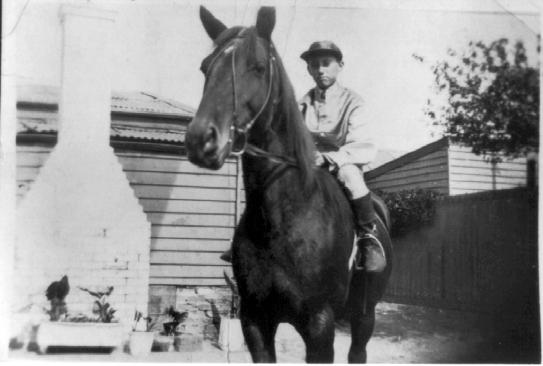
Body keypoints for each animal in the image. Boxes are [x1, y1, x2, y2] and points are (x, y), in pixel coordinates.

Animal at [186, 5, 392, 364]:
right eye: (205, 67)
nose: (201, 139)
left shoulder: (319, 327)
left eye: (256, 66)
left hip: (364, 316)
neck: (281, 218)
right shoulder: (255, 321)